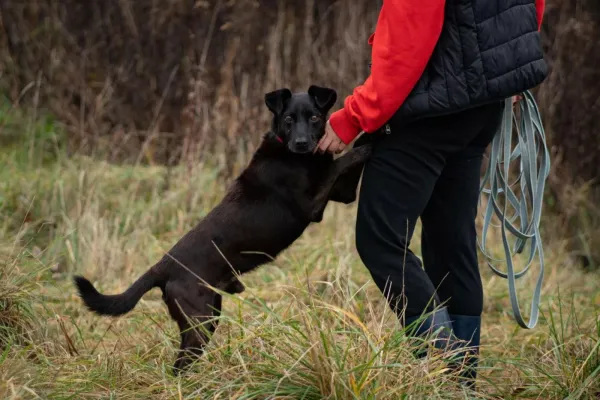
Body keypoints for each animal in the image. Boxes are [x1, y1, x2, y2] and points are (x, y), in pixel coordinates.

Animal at [75, 86, 370, 374]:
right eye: (288, 120)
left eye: (314, 118)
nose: (301, 144)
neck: (286, 149)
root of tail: (162, 266)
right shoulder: (313, 204)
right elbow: (344, 160)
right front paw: (368, 140)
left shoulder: (343, 194)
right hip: (200, 318)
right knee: (180, 364)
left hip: (209, 314)